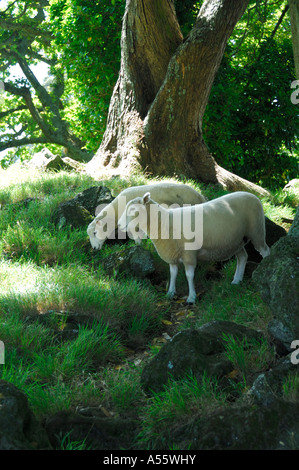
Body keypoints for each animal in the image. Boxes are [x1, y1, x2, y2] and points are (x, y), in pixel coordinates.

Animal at [118, 192, 272, 304]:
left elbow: (189, 275)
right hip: (236, 241)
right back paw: (236, 281)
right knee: (243, 257)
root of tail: (252, 195)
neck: (165, 223)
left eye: (133, 210)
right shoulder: (173, 254)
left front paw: (191, 297)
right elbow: (173, 273)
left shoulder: (189, 254)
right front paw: (170, 293)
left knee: (265, 252)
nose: (119, 225)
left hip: (256, 231)